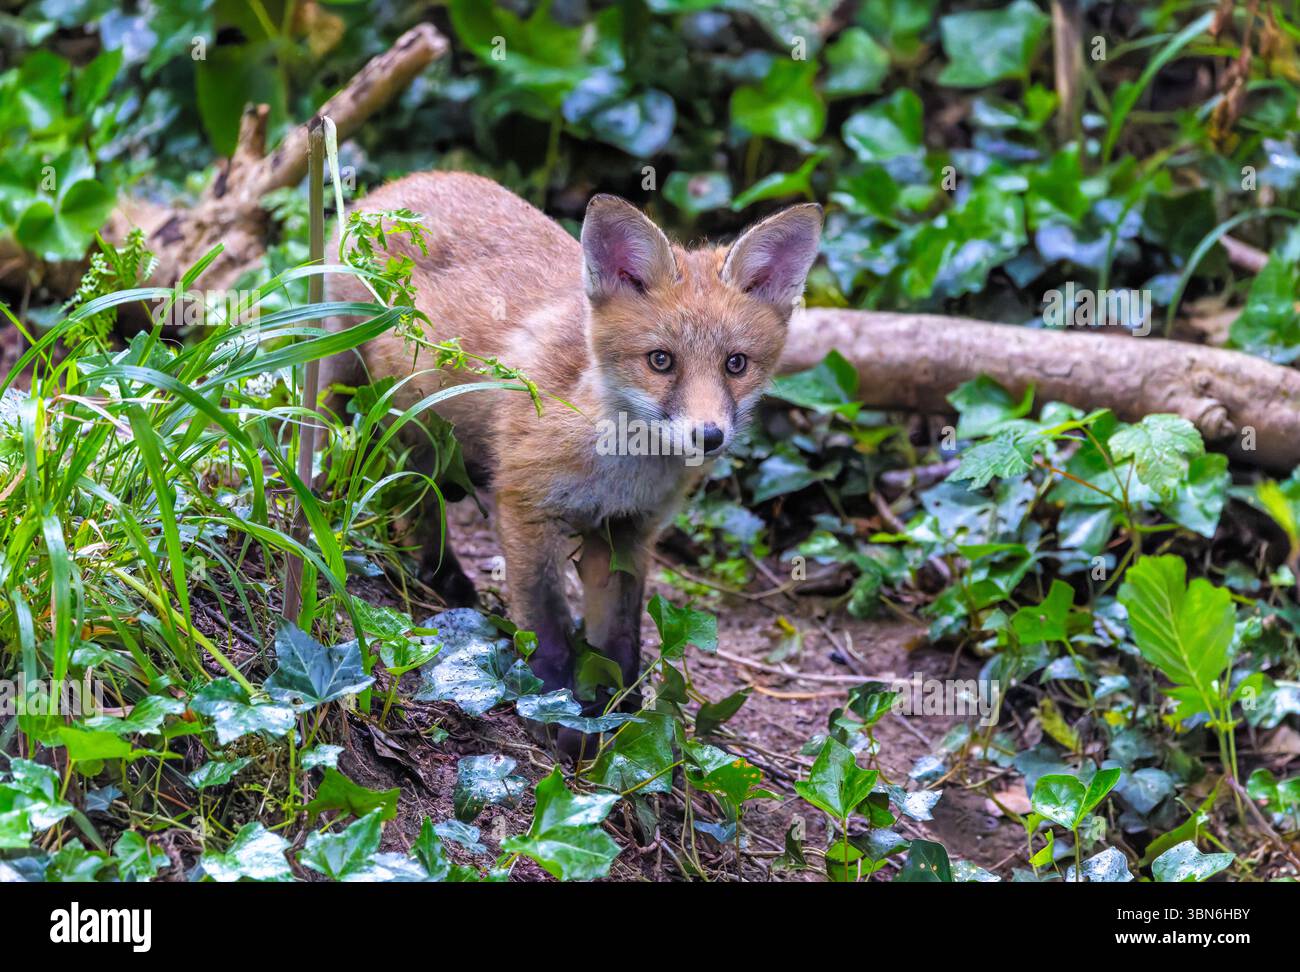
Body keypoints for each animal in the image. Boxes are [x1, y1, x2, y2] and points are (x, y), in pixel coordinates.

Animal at [322, 172, 821, 753]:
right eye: (660, 361)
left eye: (735, 364)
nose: (709, 435)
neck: (620, 468)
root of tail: (392, 189)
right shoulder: (525, 505)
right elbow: (548, 625)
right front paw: (554, 712)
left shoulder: (627, 531)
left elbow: (619, 641)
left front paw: (620, 720)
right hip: (383, 405)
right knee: (386, 481)